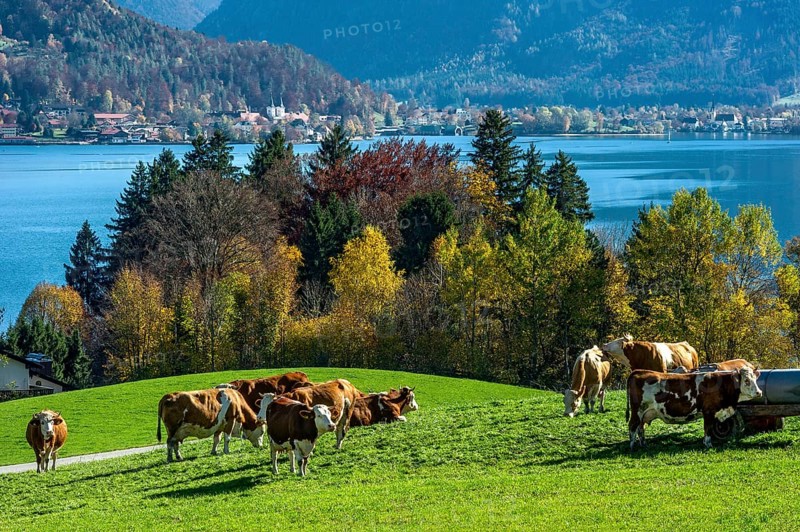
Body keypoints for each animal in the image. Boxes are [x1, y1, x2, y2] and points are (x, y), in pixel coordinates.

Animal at [626, 367, 762, 450]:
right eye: (746, 380)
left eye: (755, 379)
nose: (759, 392)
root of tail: (638, 371)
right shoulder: (709, 411)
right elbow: (708, 428)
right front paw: (708, 444)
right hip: (637, 411)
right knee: (632, 426)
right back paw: (632, 447)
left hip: (645, 413)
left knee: (640, 428)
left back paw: (643, 444)